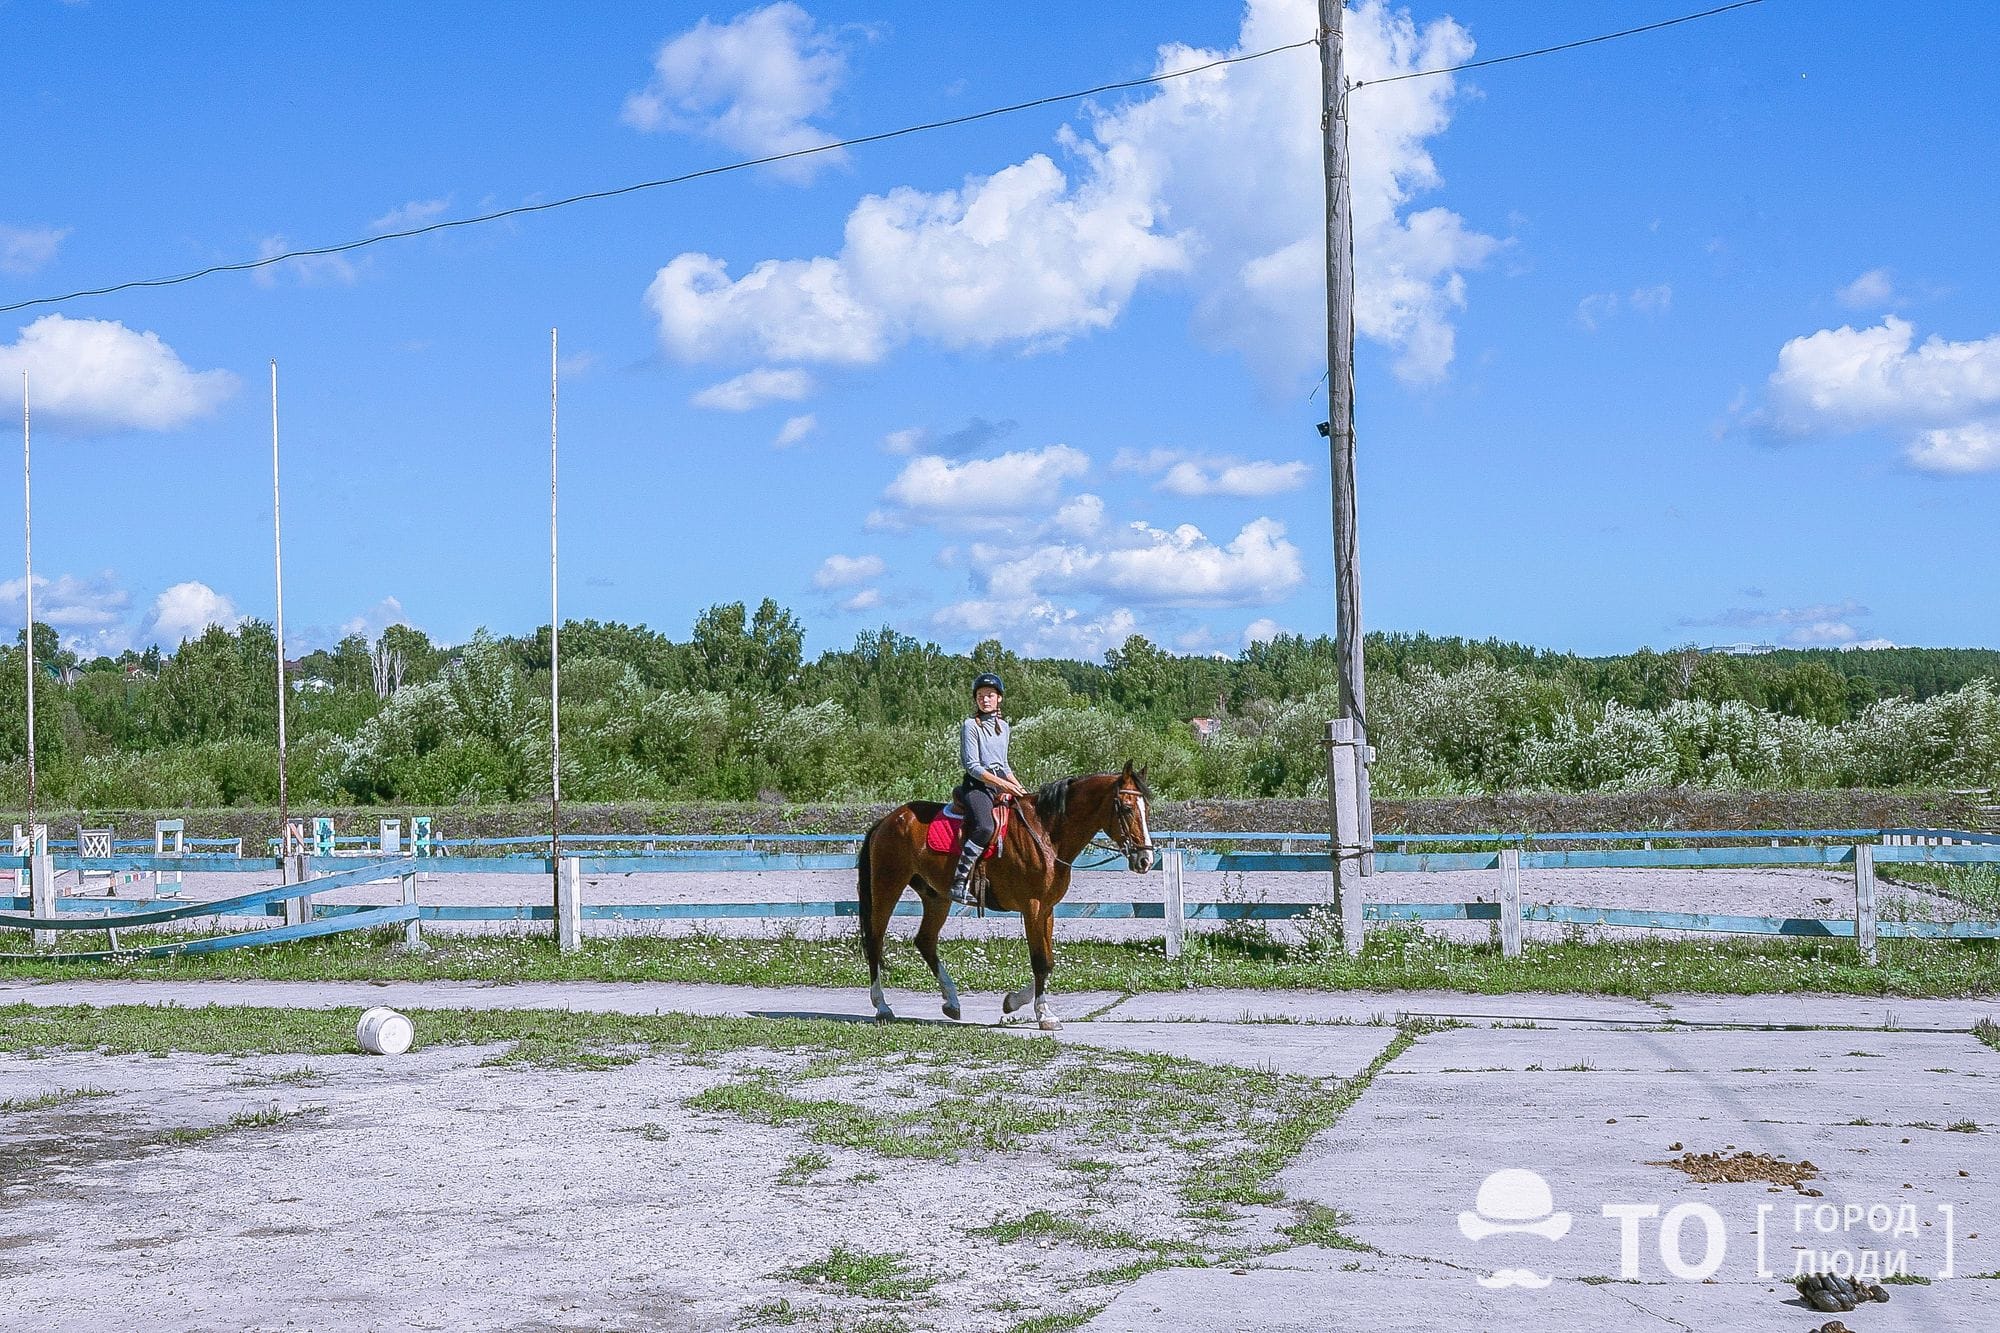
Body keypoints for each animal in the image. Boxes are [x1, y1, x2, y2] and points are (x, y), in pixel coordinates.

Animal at [856, 756, 1160, 1024]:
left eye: (1146, 809)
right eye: (1127, 808)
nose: (1145, 860)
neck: (1046, 834)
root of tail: (888, 820)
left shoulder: (1047, 909)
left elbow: (1048, 961)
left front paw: (1013, 1002)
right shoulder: (1032, 906)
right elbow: (1040, 961)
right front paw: (1044, 1015)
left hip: (936, 897)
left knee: (925, 941)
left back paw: (951, 1002)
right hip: (887, 886)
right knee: (875, 941)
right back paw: (882, 1007)